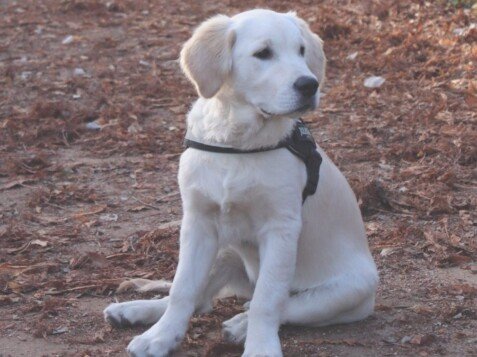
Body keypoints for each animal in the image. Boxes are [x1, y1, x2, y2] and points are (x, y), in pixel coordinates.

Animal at [103, 9, 376, 356]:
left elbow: (268, 301)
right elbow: (182, 288)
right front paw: (161, 336)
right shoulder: (198, 222)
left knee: (284, 305)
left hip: (350, 290)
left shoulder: (281, 229)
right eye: (263, 53)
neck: (238, 142)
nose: (309, 84)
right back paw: (135, 311)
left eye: (301, 51)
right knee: (200, 299)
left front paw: (260, 347)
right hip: (225, 246)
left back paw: (239, 326)